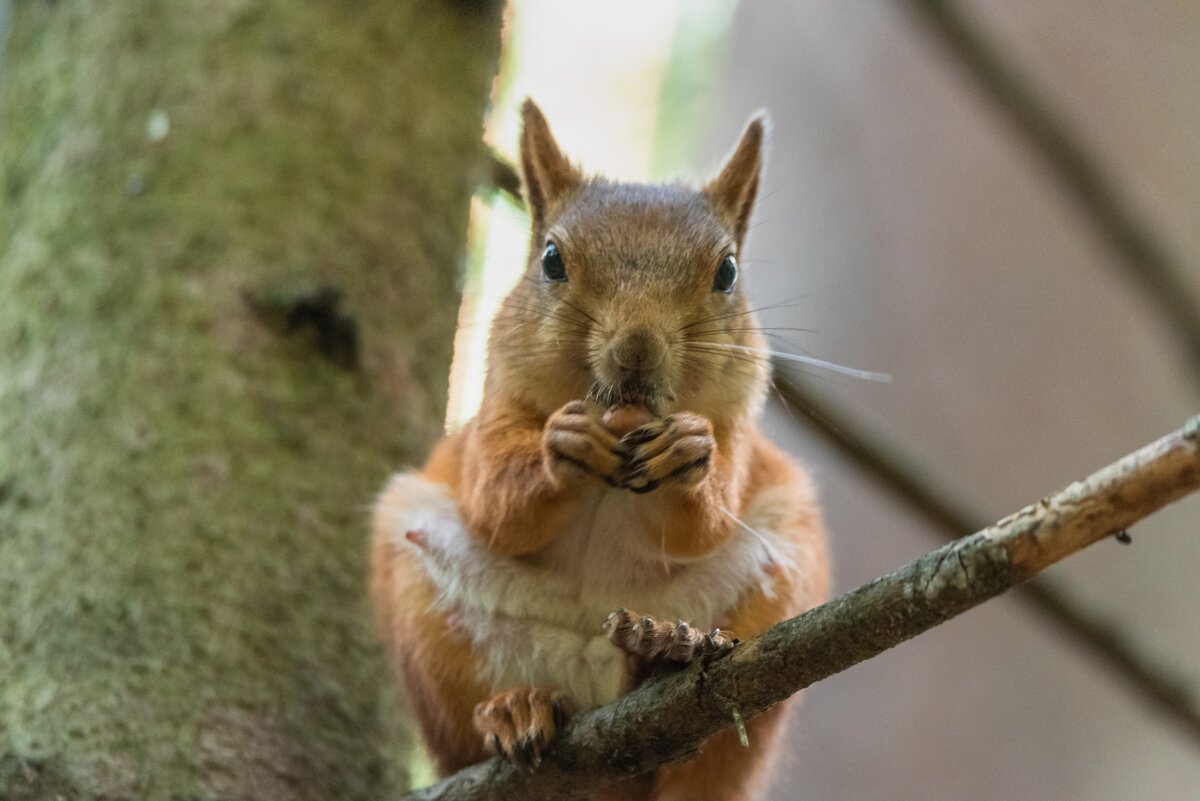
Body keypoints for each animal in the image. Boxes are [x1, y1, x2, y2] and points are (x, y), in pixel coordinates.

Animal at [369, 100, 830, 801]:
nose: (636, 348)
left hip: (781, 578)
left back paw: (656, 653)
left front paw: (688, 454)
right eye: (551, 260)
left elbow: (707, 520)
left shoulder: (739, 437)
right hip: (426, 621)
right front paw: (564, 445)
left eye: (727, 272)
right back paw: (515, 709)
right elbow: (498, 505)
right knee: (472, 723)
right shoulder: (494, 417)